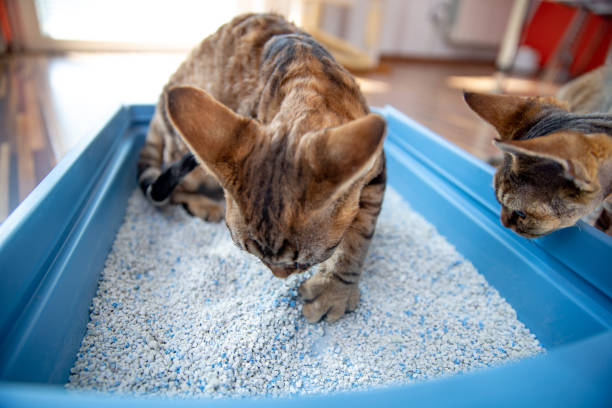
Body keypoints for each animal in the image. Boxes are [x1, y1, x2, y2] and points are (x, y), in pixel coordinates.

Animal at [137, 14, 388, 324]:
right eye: (253, 255)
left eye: (303, 262)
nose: (278, 275)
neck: (309, 84)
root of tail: (159, 104)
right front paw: (333, 292)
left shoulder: (375, 171)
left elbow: (358, 238)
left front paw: (334, 290)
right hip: (189, 162)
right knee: (173, 190)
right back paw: (203, 204)